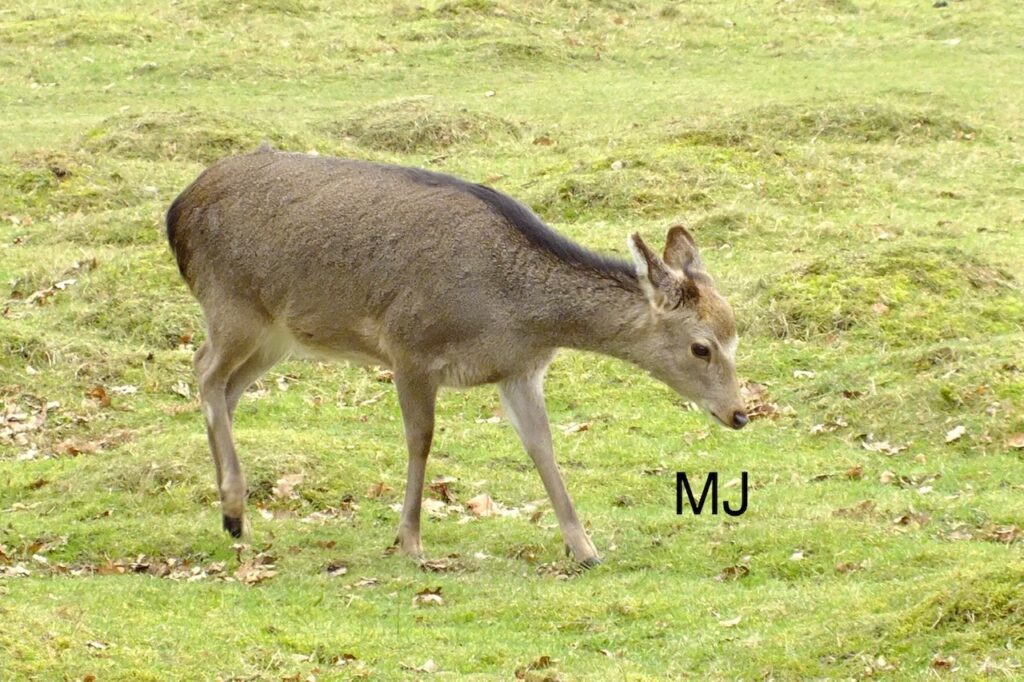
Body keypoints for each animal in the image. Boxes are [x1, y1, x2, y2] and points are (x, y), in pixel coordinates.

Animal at [166, 147, 747, 568]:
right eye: (701, 347)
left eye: (736, 335)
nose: (740, 413)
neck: (513, 313)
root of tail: (178, 212)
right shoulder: (410, 347)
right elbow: (420, 440)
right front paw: (411, 542)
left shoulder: (519, 371)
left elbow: (542, 447)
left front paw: (584, 549)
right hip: (232, 305)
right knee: (204, 371)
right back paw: (234, 506)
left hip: (276, 335)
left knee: (227, 389)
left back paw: (232, 514)